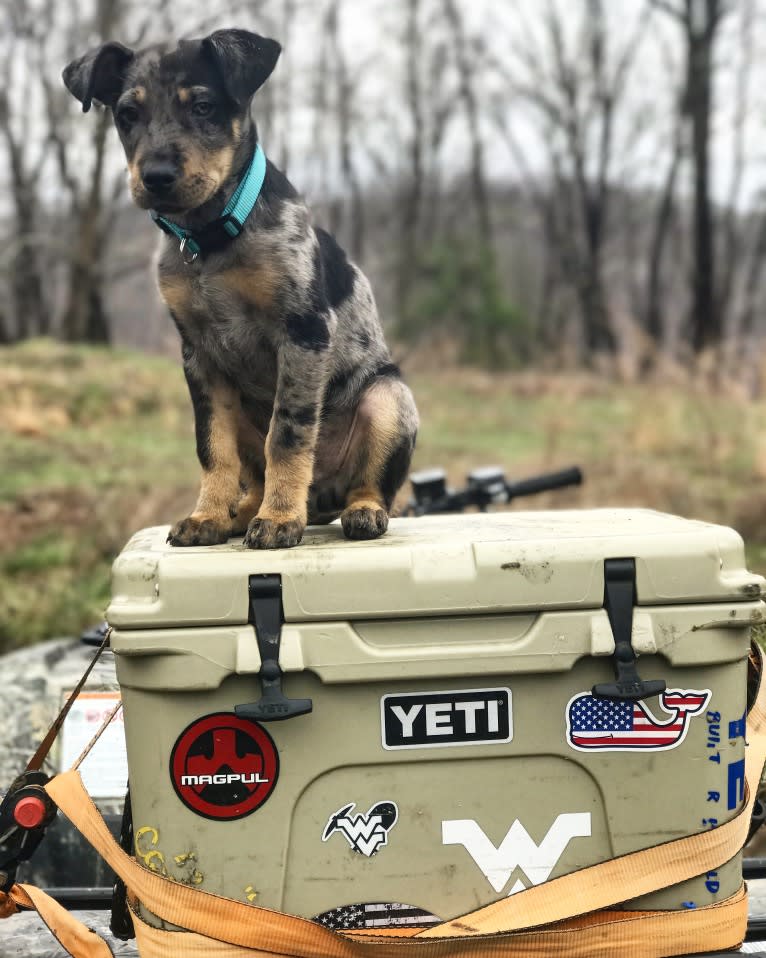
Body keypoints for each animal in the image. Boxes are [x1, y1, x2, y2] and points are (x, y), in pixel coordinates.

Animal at [62, 30, 420, 548]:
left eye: (204, 107)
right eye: (127, 115)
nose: (156, 178)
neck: (210, 240)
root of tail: (322, 501)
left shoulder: (303, 333)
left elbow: (287, 434)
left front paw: (279, 519)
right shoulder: (199, 356)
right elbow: (213, 445)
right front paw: (207, 516)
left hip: (389, 398)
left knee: (371, 483)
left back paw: (356, 511)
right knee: (250, 470)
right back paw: (241, 511)